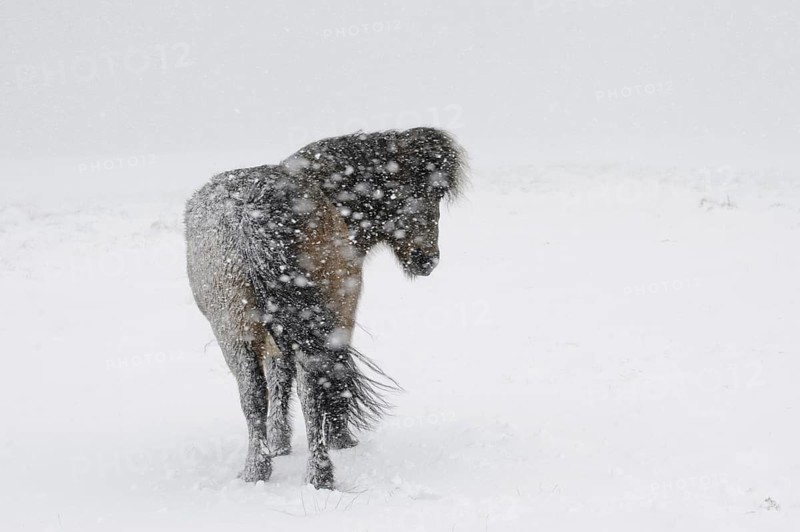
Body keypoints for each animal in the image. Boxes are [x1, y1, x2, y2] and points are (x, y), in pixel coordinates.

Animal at [184, 127, 466, 489]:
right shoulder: (342, 316)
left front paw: (279, 444)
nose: (428, 260)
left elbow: (277, 380)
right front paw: (339, 437)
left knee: (253, 396)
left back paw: (256, 472)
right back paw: (320, 474)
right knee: (311, 392)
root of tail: (251, 214)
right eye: (427, 190)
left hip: (234, 334)